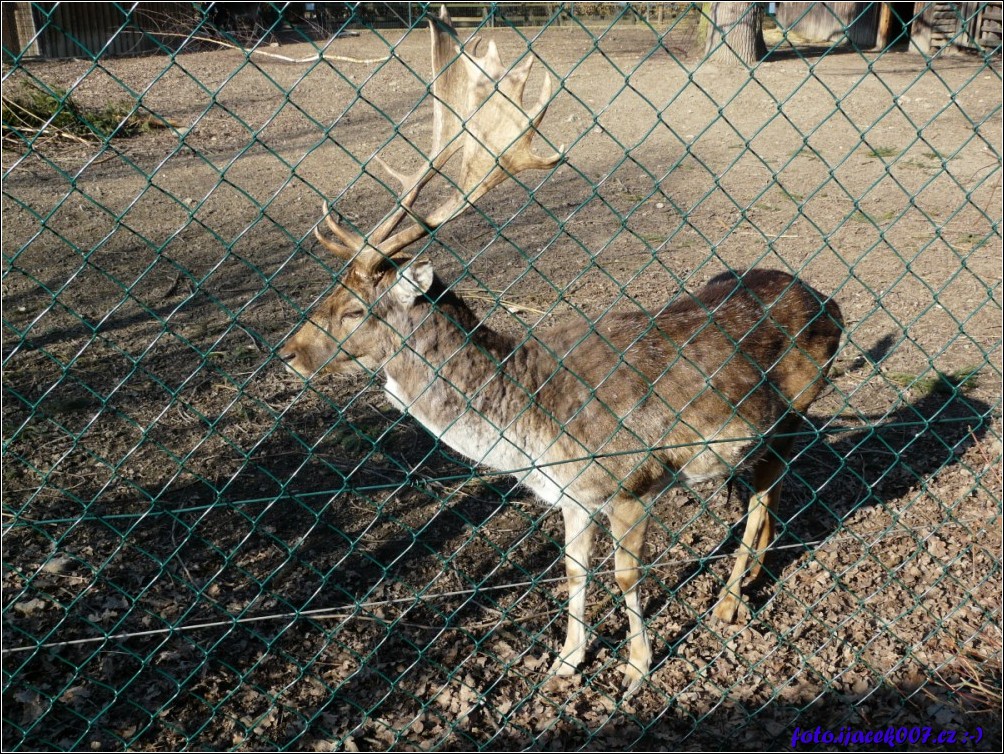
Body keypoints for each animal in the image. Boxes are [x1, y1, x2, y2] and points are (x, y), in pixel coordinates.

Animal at [279, 8, 843, 698]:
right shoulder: (571, 494)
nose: (289, 352)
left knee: (765, 495)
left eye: (357, 310)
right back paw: (751, 581)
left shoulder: (631, 481)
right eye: (329, 291)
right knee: (774, 493)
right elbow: (572, 570)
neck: (534, 427)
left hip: (791, 412)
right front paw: (567, 660)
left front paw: (636, 669)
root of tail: (831, 303)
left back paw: (731, 602)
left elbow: (626, 575)